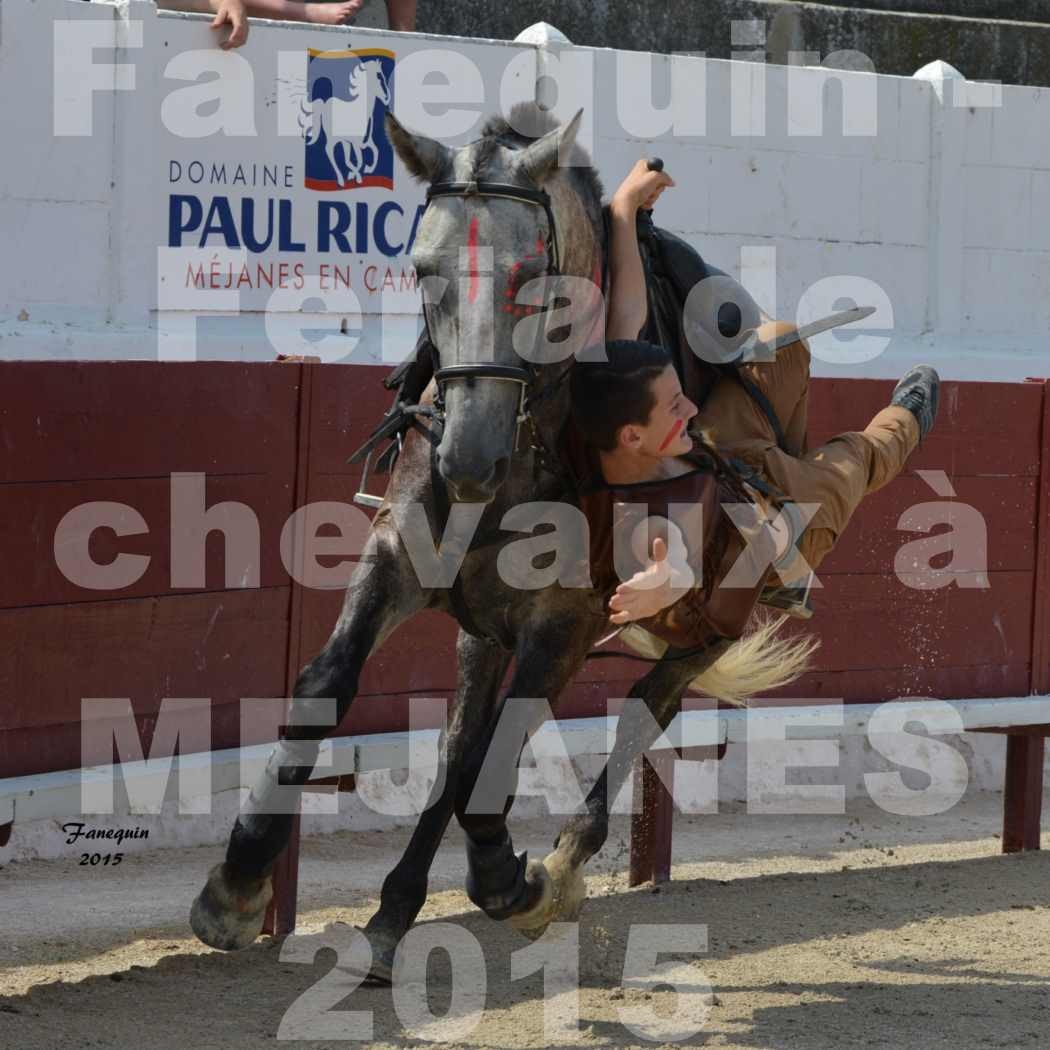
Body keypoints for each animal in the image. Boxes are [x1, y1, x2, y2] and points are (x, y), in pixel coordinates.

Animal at [188, 102, 802, 978]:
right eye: (420, 268)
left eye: (534, 276)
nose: (469, 457)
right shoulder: (399, 557)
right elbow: (327, 688)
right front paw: (236, 886)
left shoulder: (567, 622)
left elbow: (498, 759)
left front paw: (514, 879)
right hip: (482, 630)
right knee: (459, 744)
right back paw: (391, 916)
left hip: (704, 628)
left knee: (639, 713)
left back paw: (559, 867)